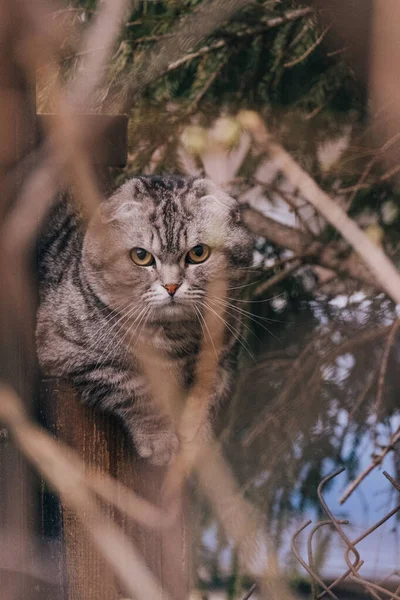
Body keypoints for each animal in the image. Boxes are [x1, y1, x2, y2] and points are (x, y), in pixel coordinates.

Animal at [36, 176, 252, 466]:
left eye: (198, 253)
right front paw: (160, 440)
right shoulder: (64, 351)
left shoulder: (223, 354)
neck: (175, 338)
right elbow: (137, 390)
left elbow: (209, 386)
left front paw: (196, 429)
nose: (171, 286)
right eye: (141, 256)